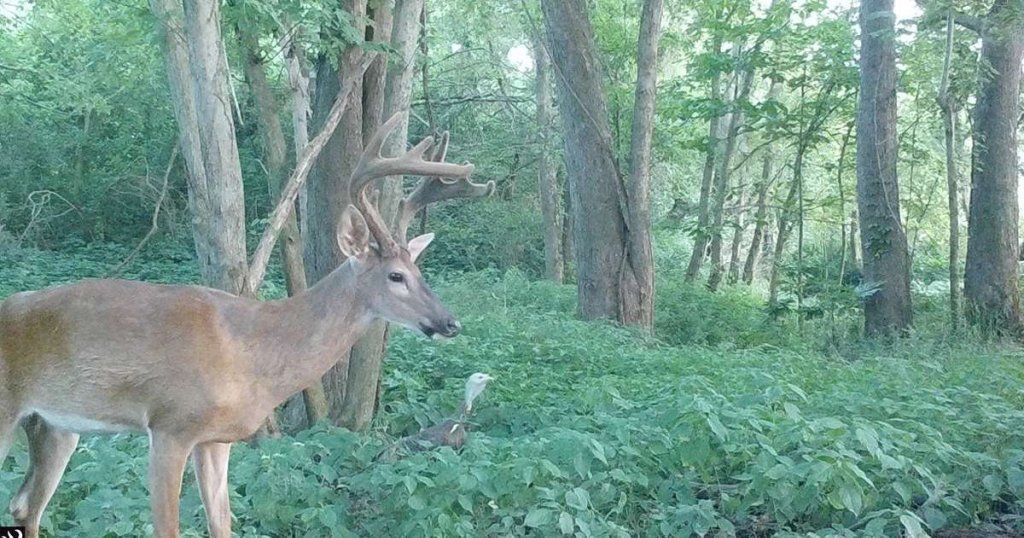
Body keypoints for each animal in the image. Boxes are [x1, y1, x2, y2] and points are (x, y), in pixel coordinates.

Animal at [0, 113, 491, 536]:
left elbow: (223, 524)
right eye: (396, 276)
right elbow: (168, 527)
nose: (450, 322)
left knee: (25, 506)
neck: (252, 351)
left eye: (419, 269)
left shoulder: (217, 439)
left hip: (54, 427)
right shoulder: (169, 424)